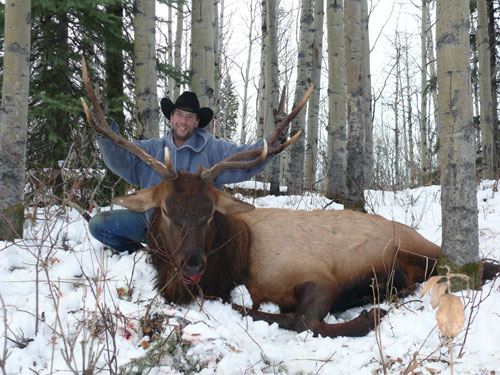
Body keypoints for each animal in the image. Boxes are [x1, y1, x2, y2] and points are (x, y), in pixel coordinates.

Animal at [79, 59, 442, 340]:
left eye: (210, 212)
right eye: (167, 210)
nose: (193, 263)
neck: (239, 262)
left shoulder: (318, 275)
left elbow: (300, 320)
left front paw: (372, 315)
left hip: (419, 248)